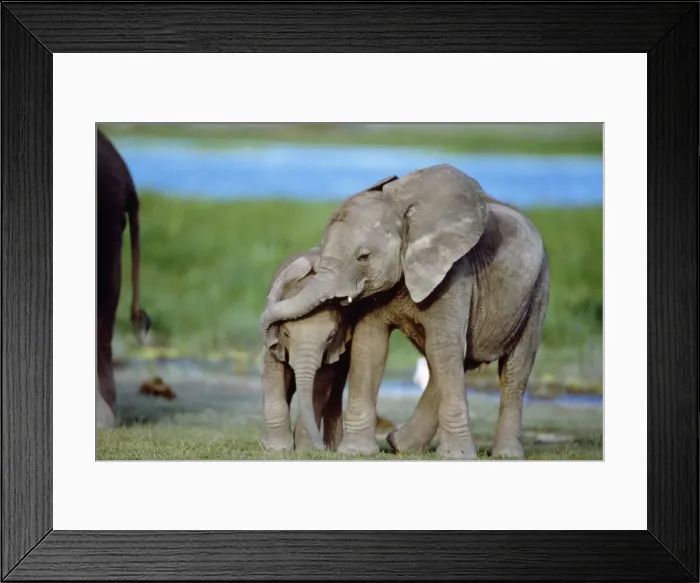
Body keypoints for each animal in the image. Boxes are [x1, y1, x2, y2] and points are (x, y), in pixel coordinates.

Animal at [260, 163, 550, 460]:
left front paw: (457, 456)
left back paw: (506, 454)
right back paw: (401, 444)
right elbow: (371, 346)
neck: (401, 208)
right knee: (451, 360)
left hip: (537, 292)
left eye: (363, 257)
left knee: (514, 368)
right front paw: (356, 452)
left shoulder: (454, 272)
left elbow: (443, 346)